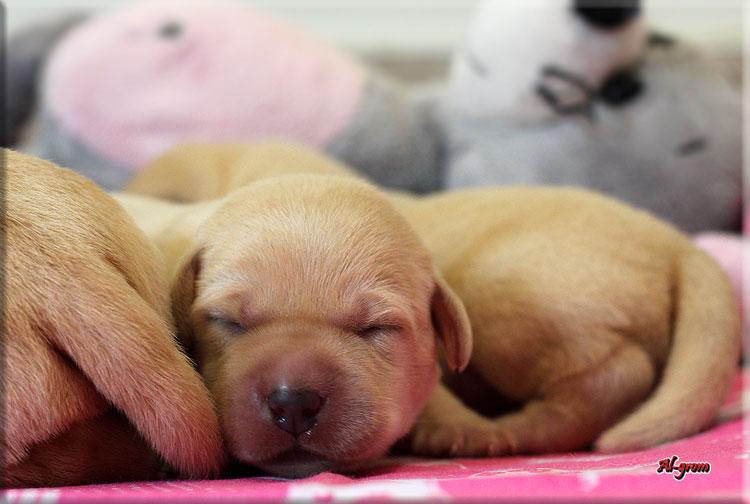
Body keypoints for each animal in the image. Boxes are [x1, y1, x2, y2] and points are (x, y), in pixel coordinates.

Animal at [126, 142, 744, 456]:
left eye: (375, 330)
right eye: (226, 321)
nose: (293, 402)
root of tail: (678, 244)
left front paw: (445, 425)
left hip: (501, 293)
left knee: (614, 375)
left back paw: (501, 432)